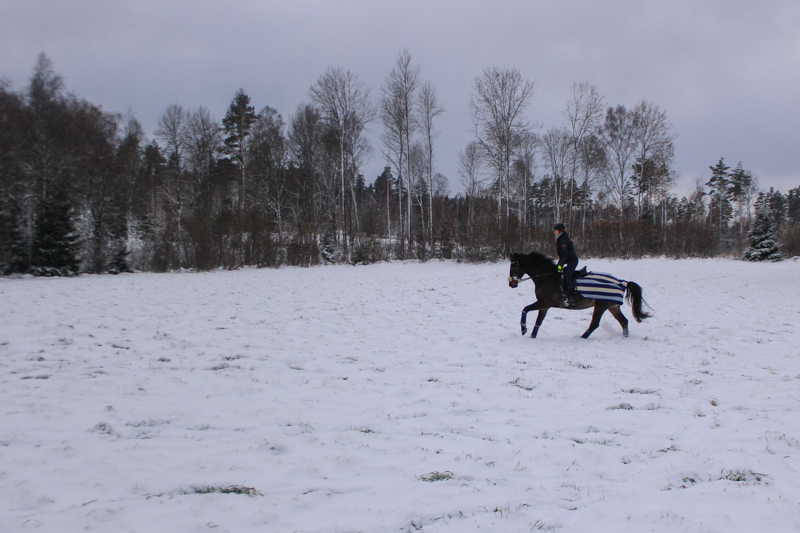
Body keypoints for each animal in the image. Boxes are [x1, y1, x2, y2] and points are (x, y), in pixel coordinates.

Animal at [508, 251, 651, 339]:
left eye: (513, 267)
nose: (511, 284)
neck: (546, 277)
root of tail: (622, 282)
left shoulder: (543, 303)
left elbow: (525, 309)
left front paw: (523, 330)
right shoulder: (544, 306)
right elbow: (538, 322)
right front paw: (531, 336)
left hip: (601, 306)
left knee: (595, 324)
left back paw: (582, 337)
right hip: (612, 306)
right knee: (623, 321)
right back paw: (625, 337)